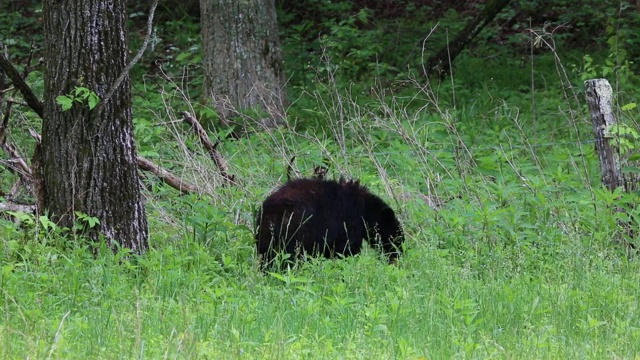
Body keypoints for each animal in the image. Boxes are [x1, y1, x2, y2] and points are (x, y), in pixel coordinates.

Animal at [255, 177, 404, 270]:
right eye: (397, 237)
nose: (398, 256)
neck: (365, 209)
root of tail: (272, 212)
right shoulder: (348, 223)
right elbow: (346, 249)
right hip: (295, 233)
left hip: (265, 234)